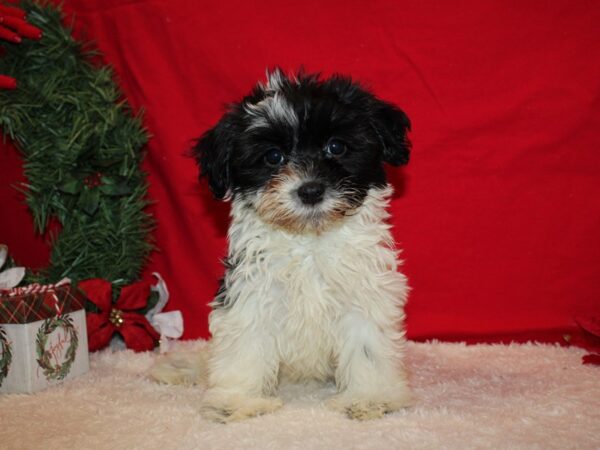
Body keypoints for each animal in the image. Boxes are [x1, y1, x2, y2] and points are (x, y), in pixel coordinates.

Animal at [152, 68, 410, 420]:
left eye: (336, 147)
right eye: (274, 156)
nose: (310, 190)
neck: (308, 241)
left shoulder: (363, 294)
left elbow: (367, 347)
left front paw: (369, 397)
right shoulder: (251, 295)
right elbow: (244, 346)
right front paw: (237, 401)